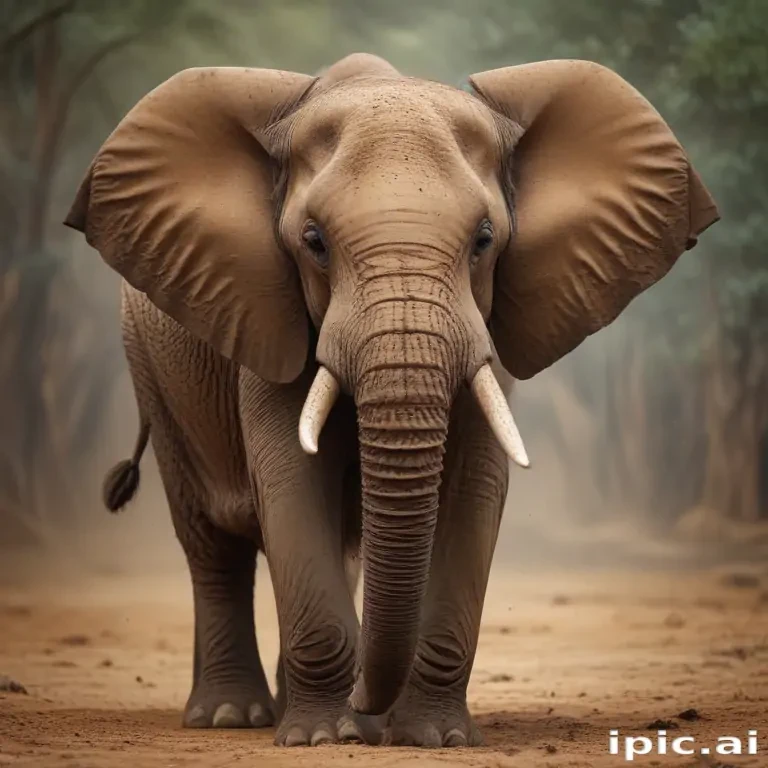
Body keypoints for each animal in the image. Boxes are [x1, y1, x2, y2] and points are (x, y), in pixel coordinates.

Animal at [65, 53, 718, 747]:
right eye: (314, 241)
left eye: (484, 239)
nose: (367, 707)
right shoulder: (266, 312)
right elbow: (290, 477)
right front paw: (325, 737)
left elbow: (474, 488)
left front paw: (434, 737)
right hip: (152, 370)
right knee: (213, 546)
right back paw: (230, 716)